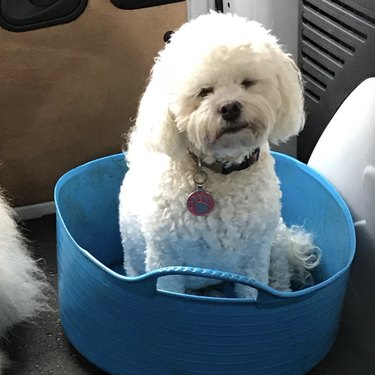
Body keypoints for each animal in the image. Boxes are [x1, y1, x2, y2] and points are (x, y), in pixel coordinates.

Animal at [119, 12, 320, 300]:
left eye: (247, 83)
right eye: (204, 91)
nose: (229, 107)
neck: (221, 169)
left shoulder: (254, 260)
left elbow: (252, 293)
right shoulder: (165, 262)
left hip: (276, 242)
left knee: (280, 276)